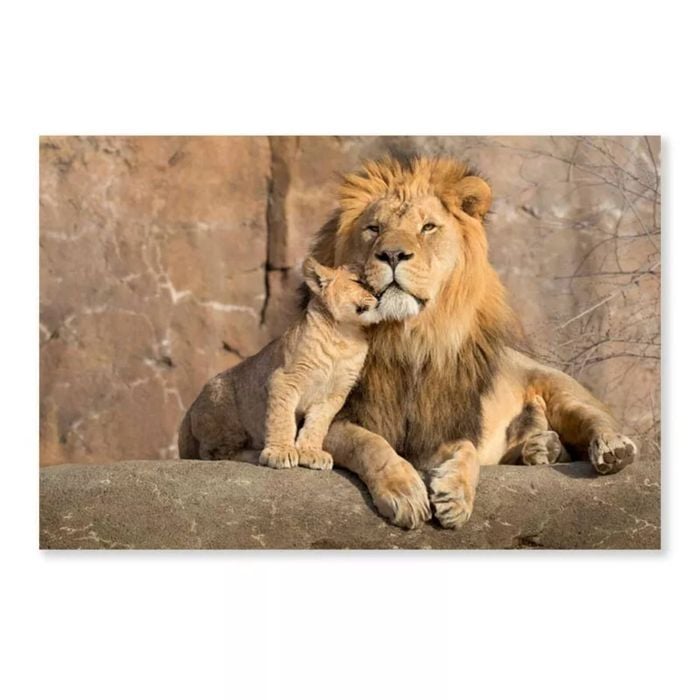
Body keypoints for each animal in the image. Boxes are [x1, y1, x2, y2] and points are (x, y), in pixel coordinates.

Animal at [179, 256, 380, 471]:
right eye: (358, 282)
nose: (379, 295)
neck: (345, 336)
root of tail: (189, 411)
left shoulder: (334, 395)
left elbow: (317, 424)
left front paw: (311, 452)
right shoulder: (284, 379)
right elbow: (281, 419)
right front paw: (280, 452)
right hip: (225, 410)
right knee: (213, 454)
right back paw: (256, 453)